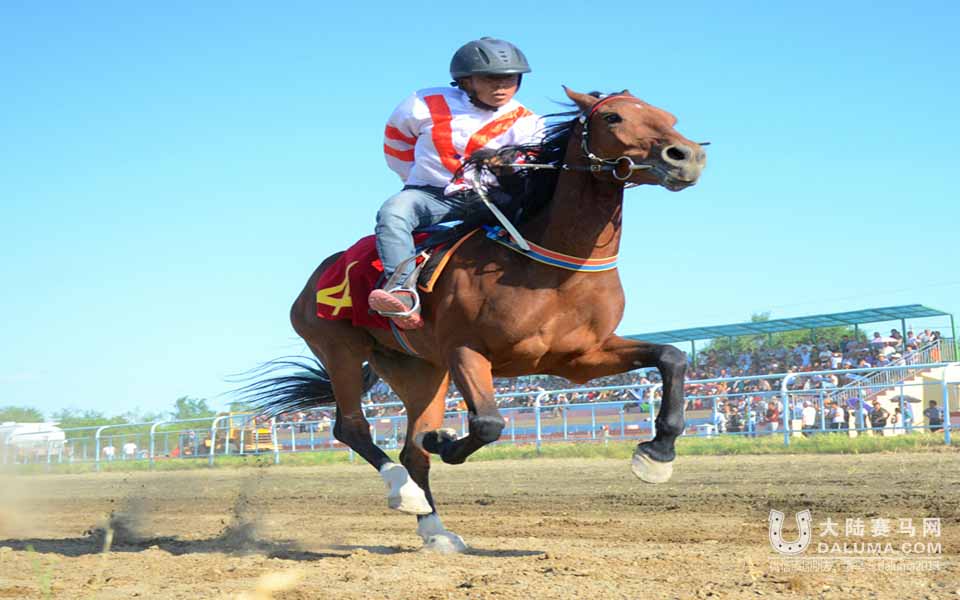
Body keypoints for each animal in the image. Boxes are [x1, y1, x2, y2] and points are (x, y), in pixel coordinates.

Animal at [243, 87, 706, 552]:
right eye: (613, 117)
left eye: (668, 116)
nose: (687, 155)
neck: (553, 269)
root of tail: (317, 277)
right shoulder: (466, 350)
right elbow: (488, 423)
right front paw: (446, 441)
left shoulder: (578, 359)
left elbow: (671, 357)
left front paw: (657, 454)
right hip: (338, 347)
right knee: (353, 428)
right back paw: (403, 489)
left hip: (419, 370)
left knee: (412, 450)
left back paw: (435, 528)